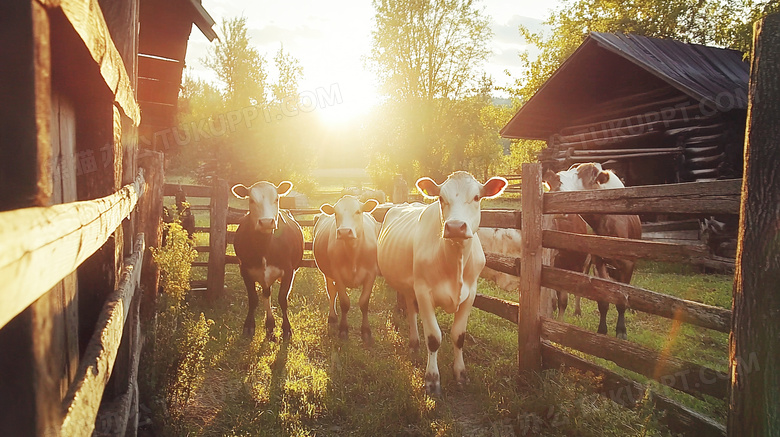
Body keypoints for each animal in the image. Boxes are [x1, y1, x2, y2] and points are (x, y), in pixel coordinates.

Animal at [230, 179, 304, 338]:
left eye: (276, 199)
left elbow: (282, 299)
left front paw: (286, 328)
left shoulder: (288, 271)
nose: (266, 222)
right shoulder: (245, 270)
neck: (264, 246)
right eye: (251, 200)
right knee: (266, 294)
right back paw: (269, 324)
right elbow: (253, 299)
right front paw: (249, 325)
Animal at [314, 195, 380, 344]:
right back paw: (332, 318)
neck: (353, 253)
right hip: (327, 274)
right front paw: (343, 330)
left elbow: (364, 303)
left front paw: (366, 331)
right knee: (332, 292)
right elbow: (344, 302)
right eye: (335, 213)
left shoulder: (371, 275)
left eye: (358, 211)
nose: (344, 232)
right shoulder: (337, 274)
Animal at [376, 171, 506, 396]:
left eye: (476, 197)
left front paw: (461, 375)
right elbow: (434, 338)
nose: (455, 227)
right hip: (411, 285)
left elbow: (459, 335)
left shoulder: (470, 294)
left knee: (411, 309)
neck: (454, 261)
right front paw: (432, 380)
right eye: (441, 198)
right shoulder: (423, 291)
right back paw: (414, 344)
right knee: (412, 313)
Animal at [544, 162, 644, 338]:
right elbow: (602, 300)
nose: (555, 184)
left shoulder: (627, 264)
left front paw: (621, 331)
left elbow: (621, 299)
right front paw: (602, 330)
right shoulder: (597, 262)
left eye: (584, 177)